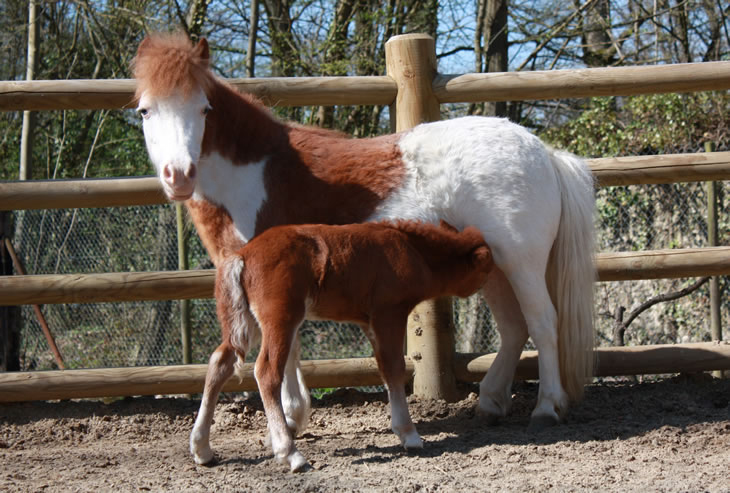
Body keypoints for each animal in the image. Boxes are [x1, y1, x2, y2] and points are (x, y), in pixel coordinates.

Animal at [191, 219, 492, 468]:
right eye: (486, 269)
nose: (485, 287)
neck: (412, 250)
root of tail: (243, 255)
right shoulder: (388, 314)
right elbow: (394, 369)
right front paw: (410, 435)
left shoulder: (368, 322)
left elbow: (384, 369)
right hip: (281, 319)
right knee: (266, 372)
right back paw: (290, 453)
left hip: (248, 322)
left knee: (221, 361)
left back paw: (202, 448)